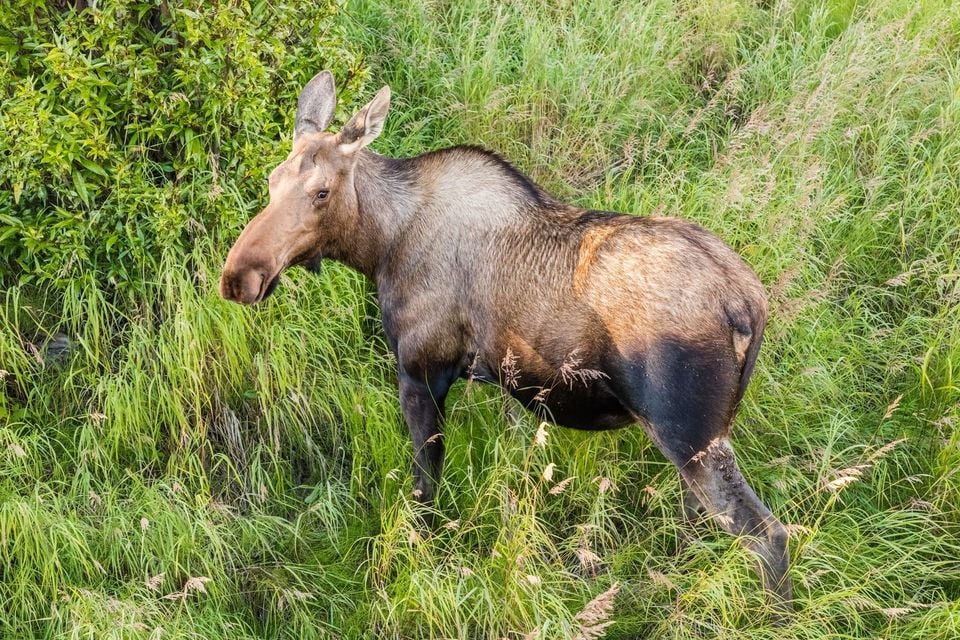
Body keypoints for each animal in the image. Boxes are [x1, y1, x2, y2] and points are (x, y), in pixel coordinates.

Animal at [219, 71, 792, 609]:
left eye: (321, 192)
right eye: (271, 181)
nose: (239, 277)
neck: (379, 245)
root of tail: (750, 306)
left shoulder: (421, 372)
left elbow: (424, 488)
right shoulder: (505, 380)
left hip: (688, 432)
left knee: (769, 535)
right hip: (702, 435)